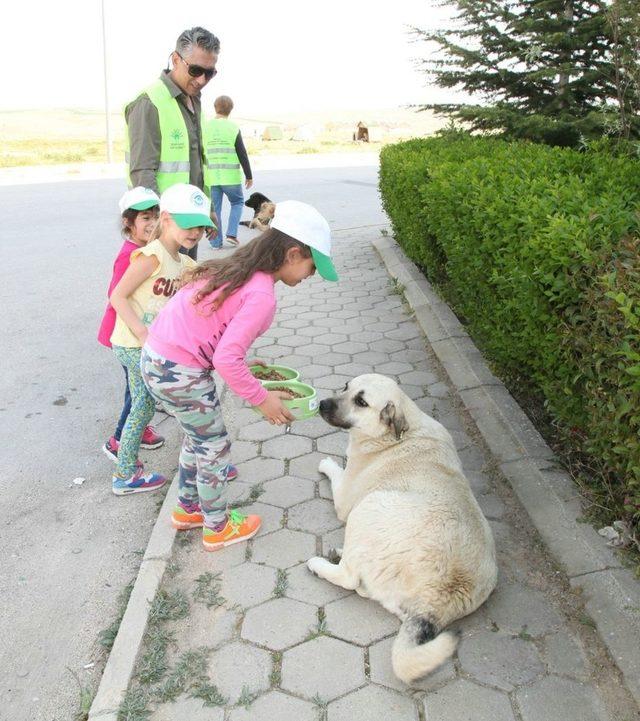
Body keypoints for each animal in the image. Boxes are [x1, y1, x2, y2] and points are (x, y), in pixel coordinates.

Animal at [306, 374, 500, 684]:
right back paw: (339, 551)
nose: (322, 403)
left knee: (349, 578)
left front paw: (328, 462)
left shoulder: (346, 498)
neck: (397, 434)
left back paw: (320, 563)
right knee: (362, 582)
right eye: (346, 387)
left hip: (369, 506)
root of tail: (440, 597)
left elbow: (336, 471)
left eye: (361, 402)